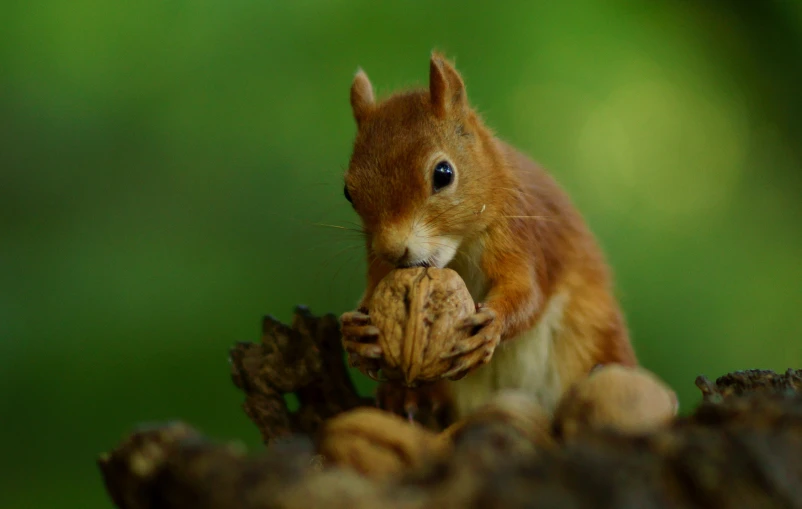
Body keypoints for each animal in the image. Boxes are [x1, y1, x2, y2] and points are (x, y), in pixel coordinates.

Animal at [338, 52, 636, 424]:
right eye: (348, 192)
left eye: (443, 174)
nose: (394, 250)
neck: (458, 251)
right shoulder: (377, 259)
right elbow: (373, 292)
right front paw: (354, 333)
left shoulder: (520, 233)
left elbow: (528, 293)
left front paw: (492, 326)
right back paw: (407, 396)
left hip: (592, 334)